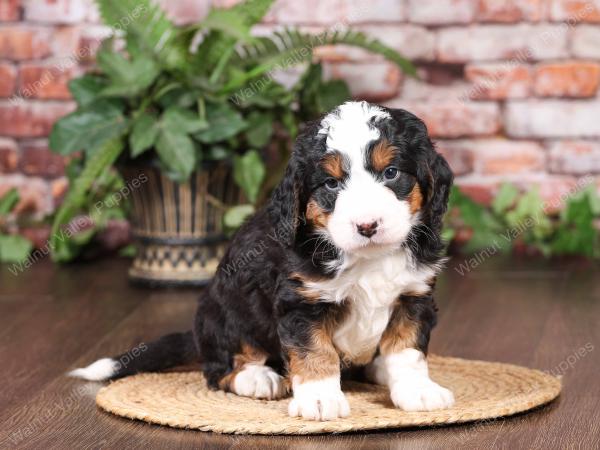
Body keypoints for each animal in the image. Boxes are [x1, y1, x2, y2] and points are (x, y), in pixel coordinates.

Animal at [71, 102, 454, 422]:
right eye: (331, 184)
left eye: (391, 173)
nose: (367, 226)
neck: (366, 258)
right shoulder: (301, 303)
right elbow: (315, 352)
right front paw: (319, 399)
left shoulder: (413, 296)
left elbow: (407, 350)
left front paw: (417, 390)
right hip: (223, 311)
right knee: (219, 368)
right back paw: (258, 378)